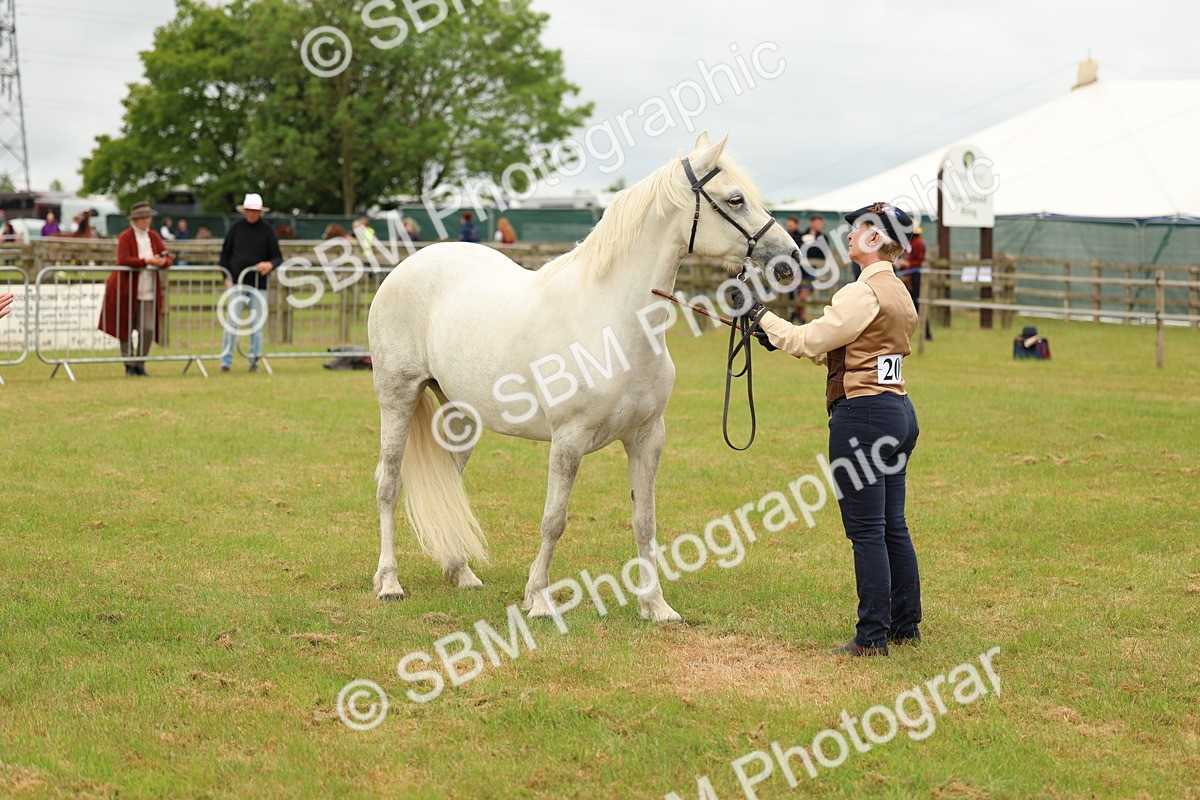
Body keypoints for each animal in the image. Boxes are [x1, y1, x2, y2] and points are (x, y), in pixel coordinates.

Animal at [366, 132, 799, 621]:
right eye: (735, 199)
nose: (789, 256)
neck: (613, 321)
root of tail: (405, 268)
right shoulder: (568, 440)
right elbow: (554, 520)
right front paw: (537, 598)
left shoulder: (648, 438)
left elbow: (645, 521)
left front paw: (655, 605)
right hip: (398, 397)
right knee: (388, 482)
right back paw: (389, 582)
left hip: (459, 416)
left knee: (447, 480)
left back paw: (460, 570)